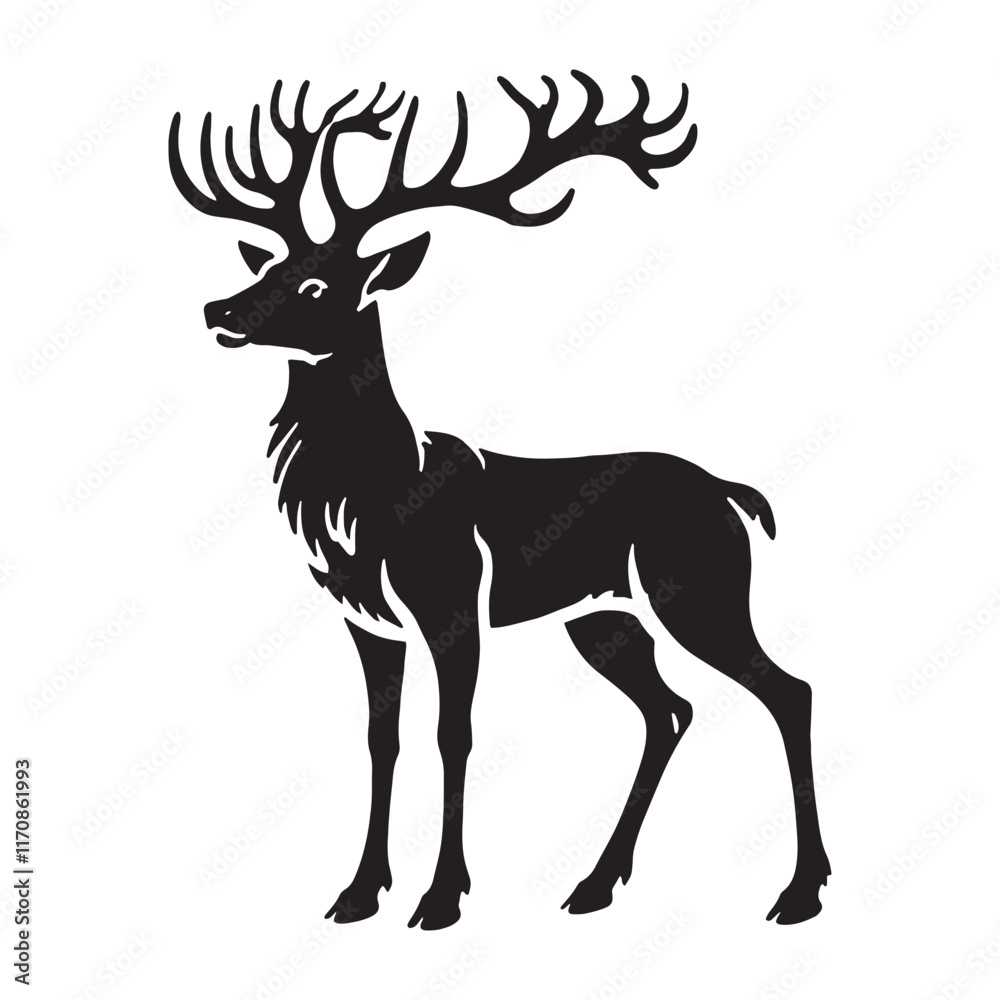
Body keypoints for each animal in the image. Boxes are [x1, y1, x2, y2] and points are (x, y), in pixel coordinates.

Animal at [168, 72, 830, 930]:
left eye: (316, 283)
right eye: (269, 264)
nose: (216, 309)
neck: (371, 500)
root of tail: (730, 492)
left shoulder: (451, 600)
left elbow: (455, 733)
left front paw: (442, 896)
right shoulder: (364, 618)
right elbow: (382, 738)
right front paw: (358, 892)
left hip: (698, 590)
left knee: (788, 690)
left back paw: (800, 891)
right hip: (603, 618)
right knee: (670, 709)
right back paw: (594, 884)